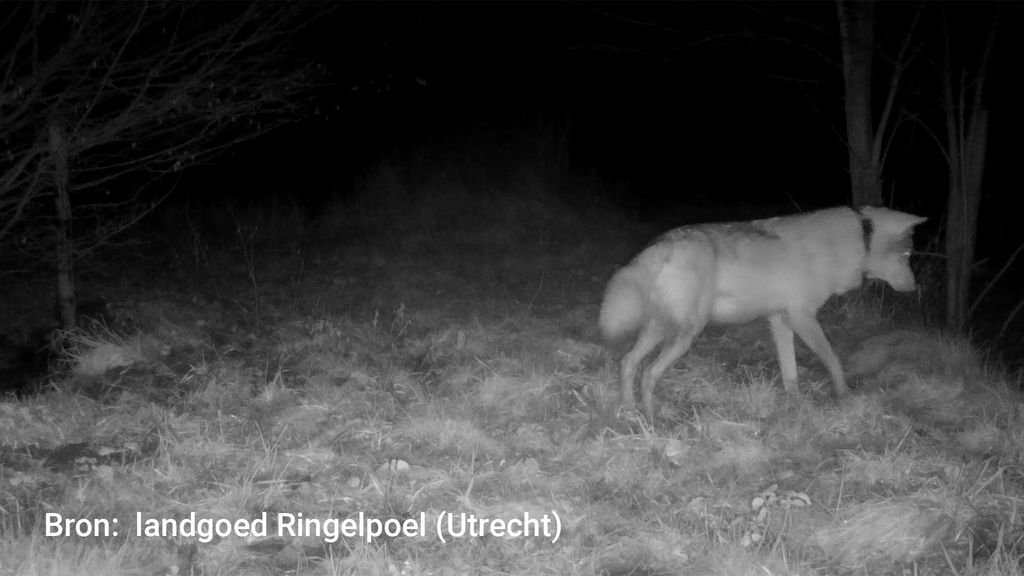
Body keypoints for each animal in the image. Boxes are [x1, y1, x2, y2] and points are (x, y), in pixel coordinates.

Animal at [599, 206, 926, 422]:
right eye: (908, 255)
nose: (916, 287)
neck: (856, 240)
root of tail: (661, 245)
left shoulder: (780, 320)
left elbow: (790, 373)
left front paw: (795, 406)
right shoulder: (802, 317)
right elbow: (833, 361)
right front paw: (844, 396)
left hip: (660, 330)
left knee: (628, 363)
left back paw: (628, 411)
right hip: (684, 336)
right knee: (648, 374)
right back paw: (652, 420)